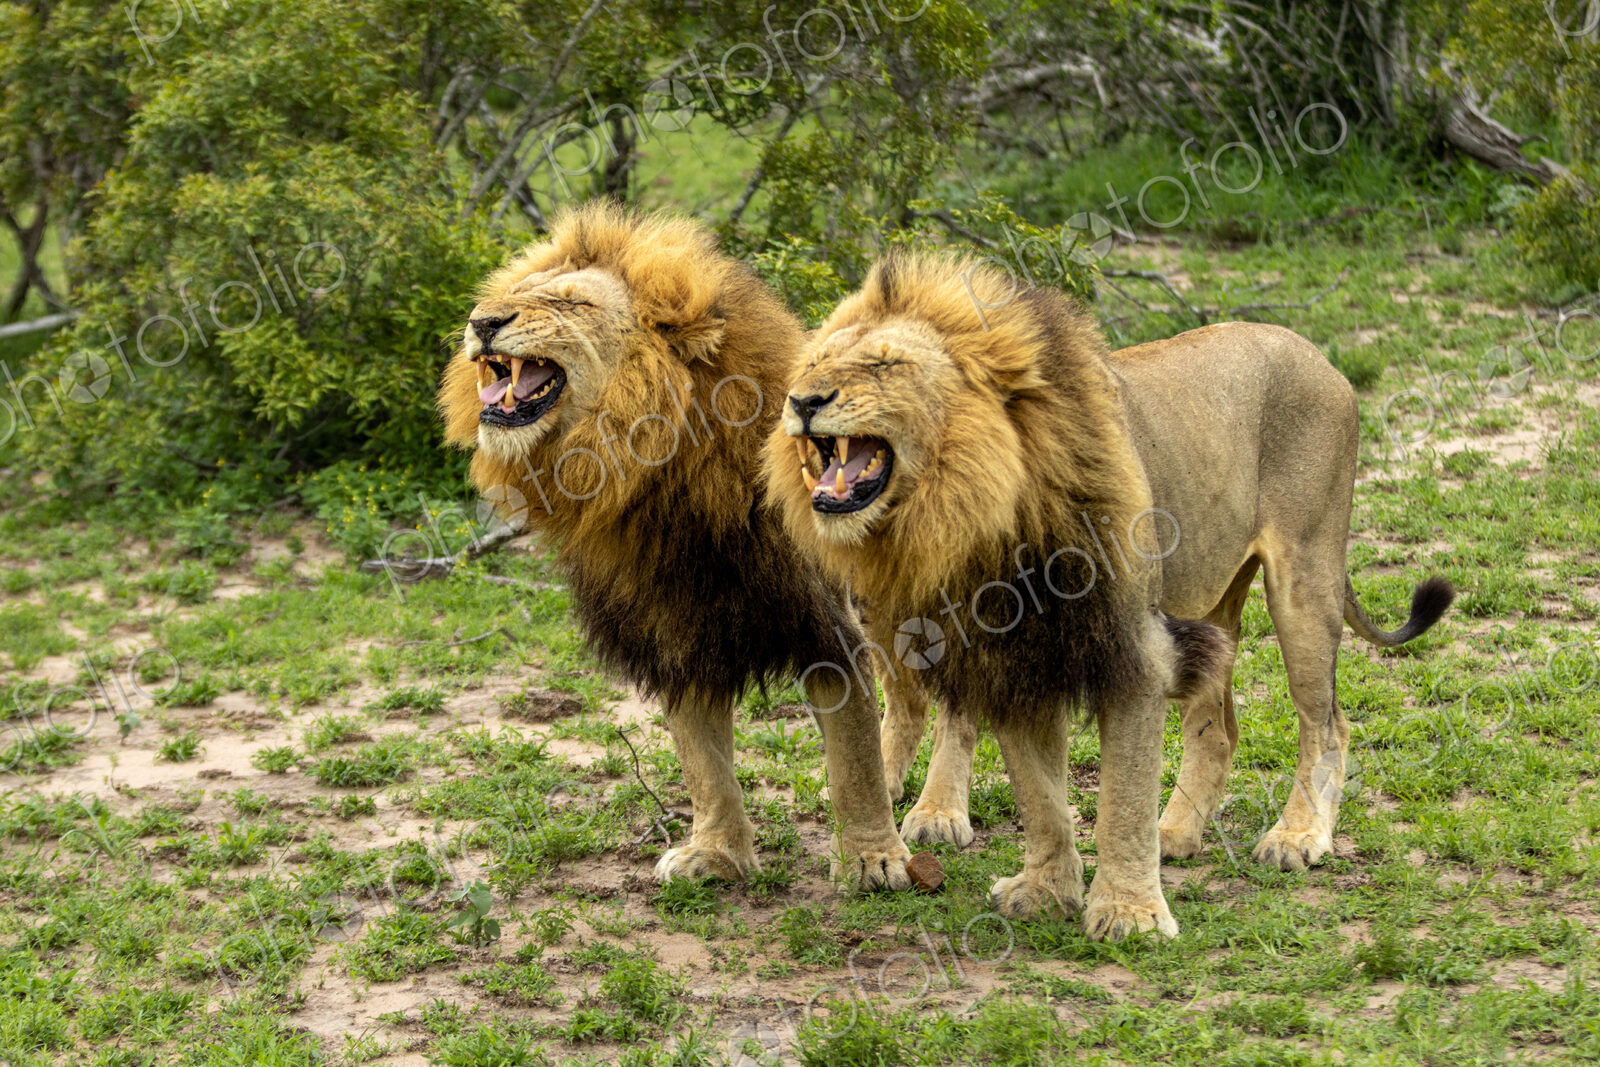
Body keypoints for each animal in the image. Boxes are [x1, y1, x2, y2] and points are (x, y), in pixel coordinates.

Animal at [437, 204, 912, 891]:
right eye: (513, 294)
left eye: (568, 302)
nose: (481, 322)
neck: (656, 471)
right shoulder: (673, 626)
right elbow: (703, 762)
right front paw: (714, 855)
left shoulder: (824, 622)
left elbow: (852, 757)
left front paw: (874, 858)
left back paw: (937, 816)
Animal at [766, 253, 1238, 940]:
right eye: (814, 364)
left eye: (885, 366)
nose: (802, 401)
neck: (970, 516)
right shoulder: (1001, 660)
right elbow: (1041, 796)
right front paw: (1048, 891)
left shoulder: (1130, 654)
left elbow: (1121, 800)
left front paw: (1128, 912)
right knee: (908, 701)